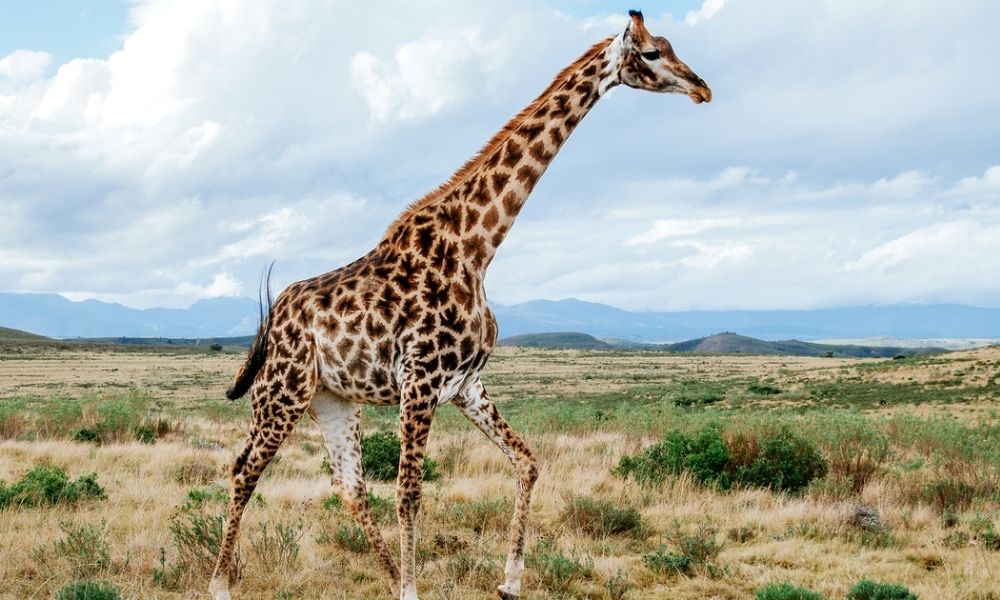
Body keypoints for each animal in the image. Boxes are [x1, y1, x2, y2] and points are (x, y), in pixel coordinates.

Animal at [209, 10, 710, 600]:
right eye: (653, 52)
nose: (702, 88)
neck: (477, 248)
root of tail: (275, 317)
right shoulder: (420, 381)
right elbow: (409, 494)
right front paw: (413, 590)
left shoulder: (466, 384)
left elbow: (528, 462)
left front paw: (509, 581)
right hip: (281, 394)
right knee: (244, 469)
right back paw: (220, 584)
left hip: (332, 399)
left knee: (349, 485)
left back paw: (384, 576)